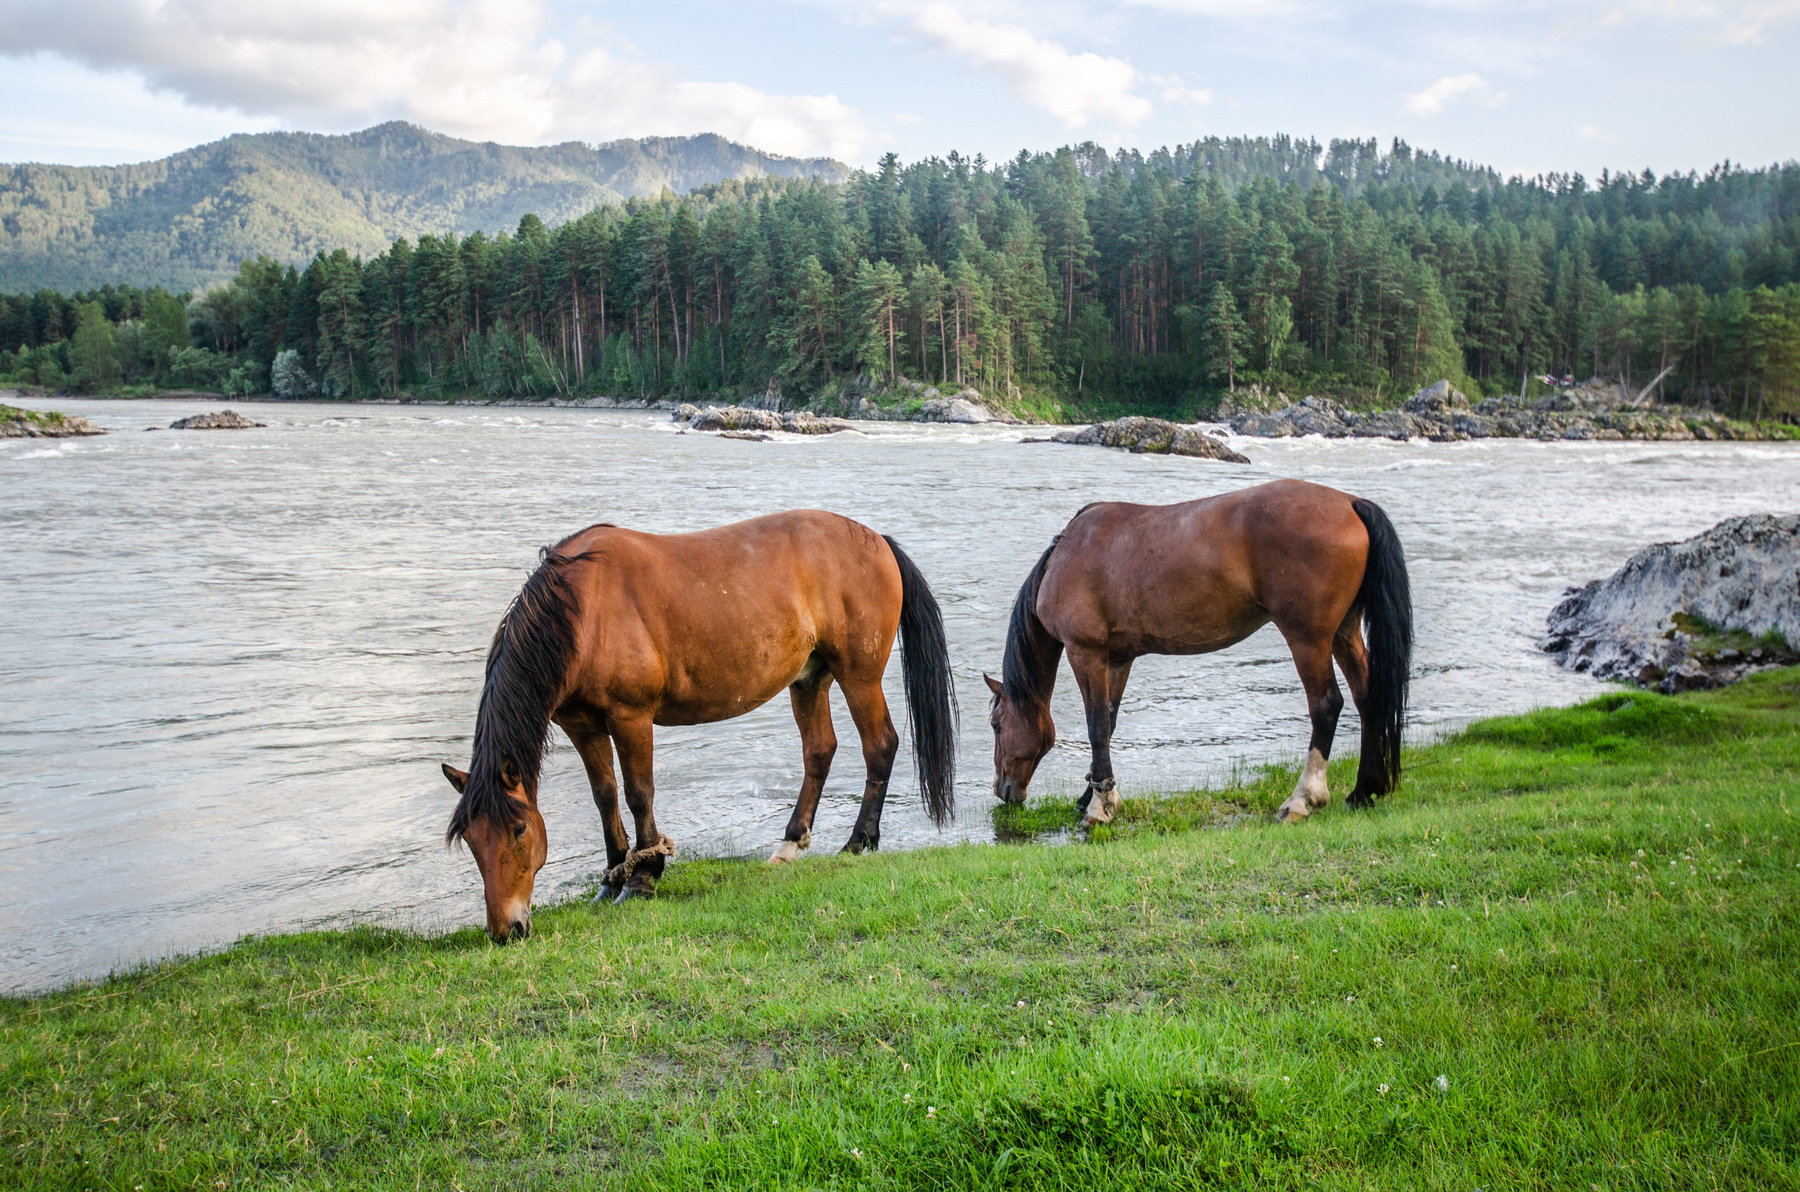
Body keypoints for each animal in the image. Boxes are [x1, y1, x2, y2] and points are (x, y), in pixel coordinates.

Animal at [444, 514, 964, 943]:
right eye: (471, 840)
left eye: (518, 830)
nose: (506, 929)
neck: (583, 609)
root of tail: (877, 541)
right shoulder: (583, 726)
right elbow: (605, 797)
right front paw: (611, 878)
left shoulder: (631, 718)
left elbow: (638, 794)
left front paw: (643, 878)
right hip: (809, 677)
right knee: (819, 751)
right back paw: (789, 845)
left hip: (859, 676)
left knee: (880, 745)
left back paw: (859, 842)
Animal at [993, 482, 1411, 828]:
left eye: (996, 724)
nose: (1002, 789)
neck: (1066, 556)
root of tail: (1350, 503)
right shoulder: (1118, 658)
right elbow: (1108, 724)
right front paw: (1094, 794)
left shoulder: (1086, 652)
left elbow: (1095, 725)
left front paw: (1099, 808)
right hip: (1344, 632)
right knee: (1368, 697)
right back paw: (1364, 790)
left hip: (1308, 638)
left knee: (1326, 704)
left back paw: (1302, 800)